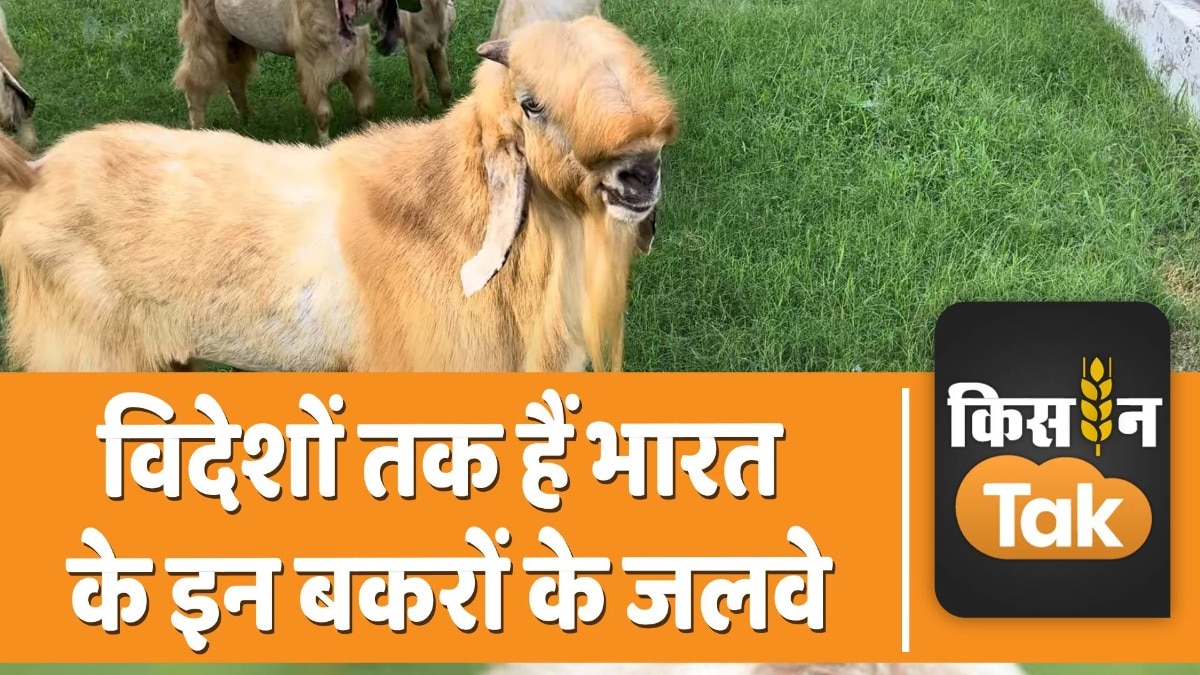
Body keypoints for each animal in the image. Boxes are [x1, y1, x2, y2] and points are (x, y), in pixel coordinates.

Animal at [172, 0, 397, 144]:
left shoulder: (356, 64)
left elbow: (366, 106)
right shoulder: (312, 65)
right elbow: (323, 112)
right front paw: (324, 144)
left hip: (234, 38)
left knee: (234, 79)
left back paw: (247, 120)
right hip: (203, 26)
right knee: (195, 79)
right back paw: (199, 129)